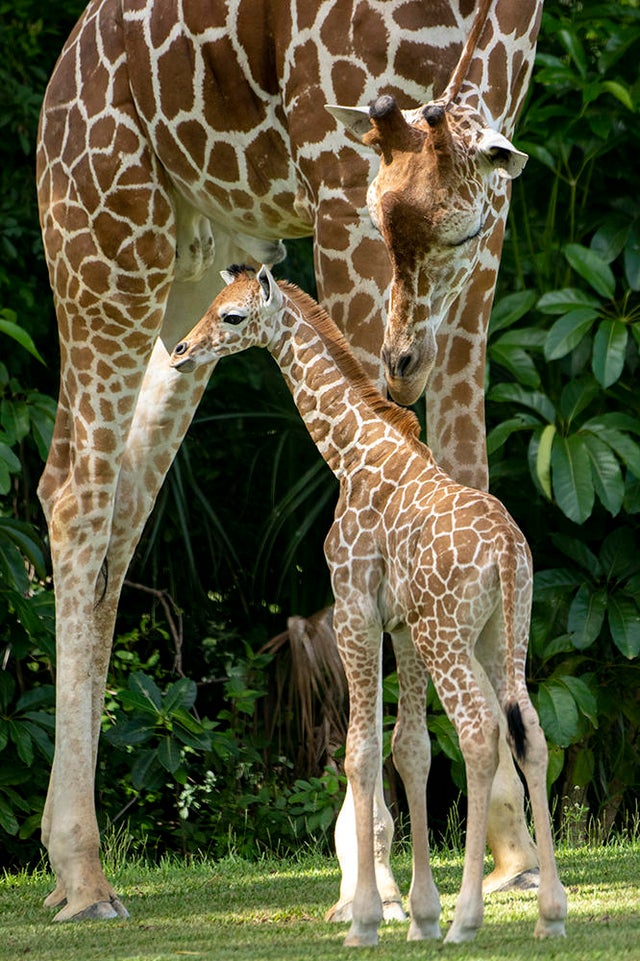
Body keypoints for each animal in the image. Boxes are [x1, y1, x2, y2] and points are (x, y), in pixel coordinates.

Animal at [170, 264, 567, 946]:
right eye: (214, 302)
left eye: (231, 316)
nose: (180, 351)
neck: (351, 454)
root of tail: (508, 552)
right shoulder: (401, 626)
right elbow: (409, 750)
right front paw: (420, 915)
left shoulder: (355, 606)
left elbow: (358, 753)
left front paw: (366, 919)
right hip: (501, 632)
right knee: (530, 732)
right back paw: (550, 914)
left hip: (448, 634)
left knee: (479, 733)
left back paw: (468, 919)